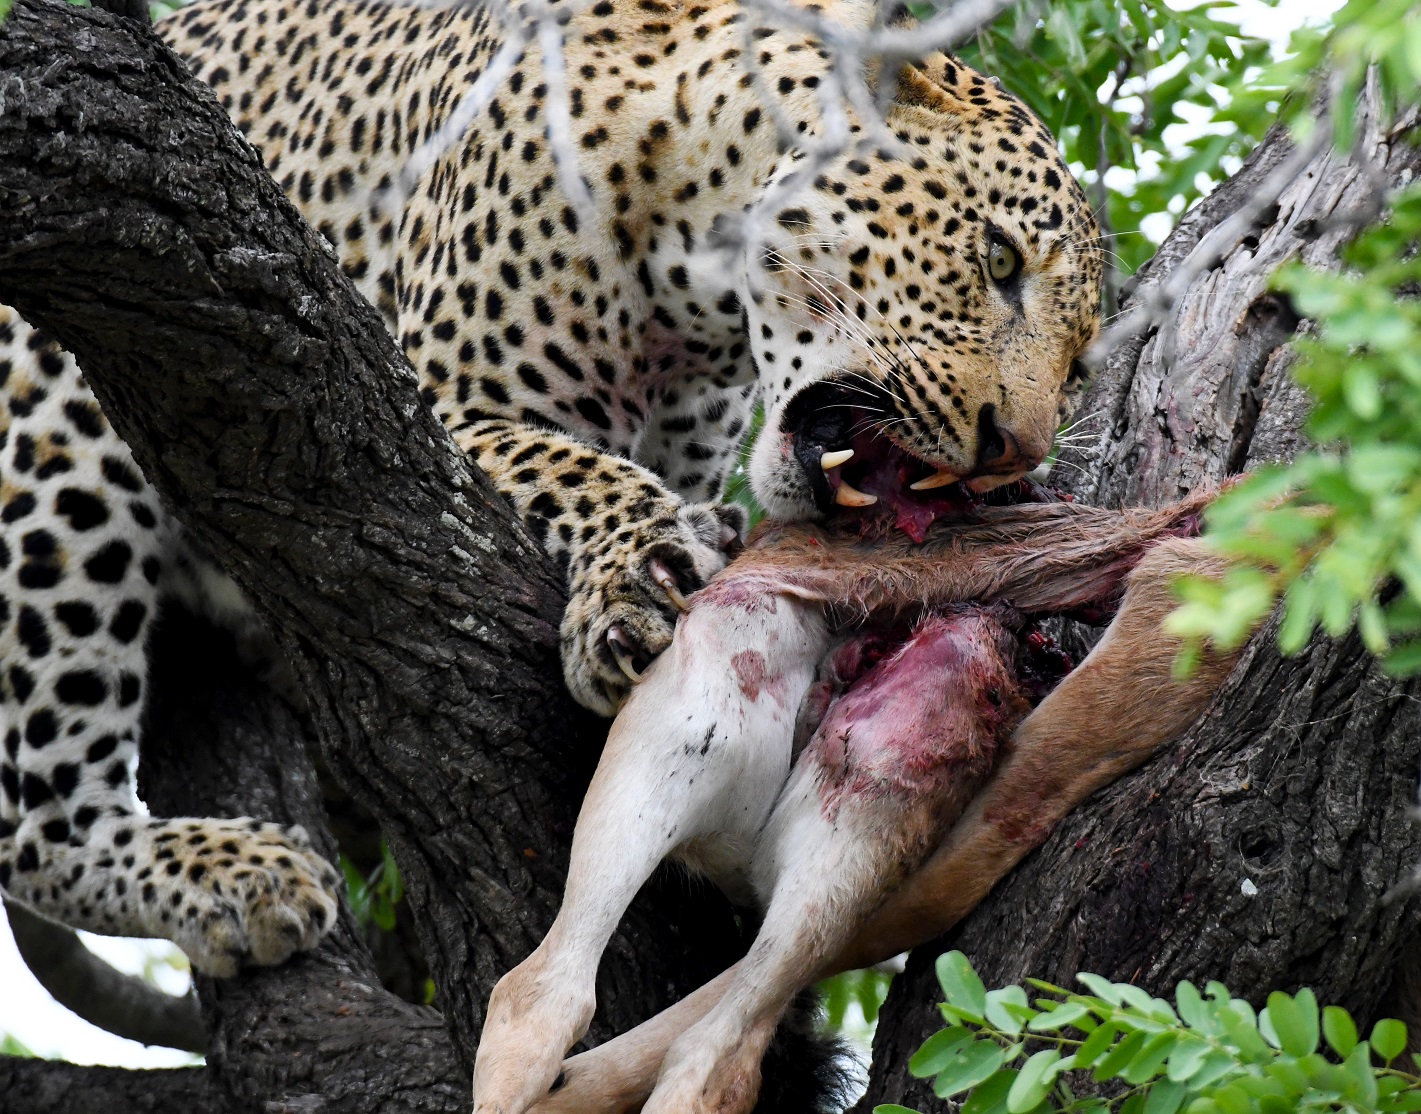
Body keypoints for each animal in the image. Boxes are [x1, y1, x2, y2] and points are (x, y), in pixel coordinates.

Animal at [0, 0, 1102, 983]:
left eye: (1081, 364)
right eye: (996, 256)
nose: (1010, 447)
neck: (696, 286)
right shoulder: (434, 397)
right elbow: (574, 466)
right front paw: (635, 585)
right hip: (60, 424)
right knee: (32, 819)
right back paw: (238, 875)